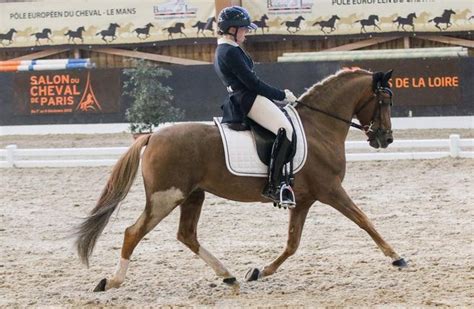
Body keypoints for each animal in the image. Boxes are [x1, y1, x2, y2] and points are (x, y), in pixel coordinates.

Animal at [75, 68, 408, 292]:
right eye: (385, 100)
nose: (386, 139)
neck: (319, 128)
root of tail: (153, 135)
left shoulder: (303, 200)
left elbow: (292, 243)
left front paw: (260, 271)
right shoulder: (331, 190)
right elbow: (364, 220)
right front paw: (397, 257)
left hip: (192, 195)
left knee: (187, 235)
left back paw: (228, 276)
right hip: (166, 197)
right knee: (133, 232)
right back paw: (112, 281)